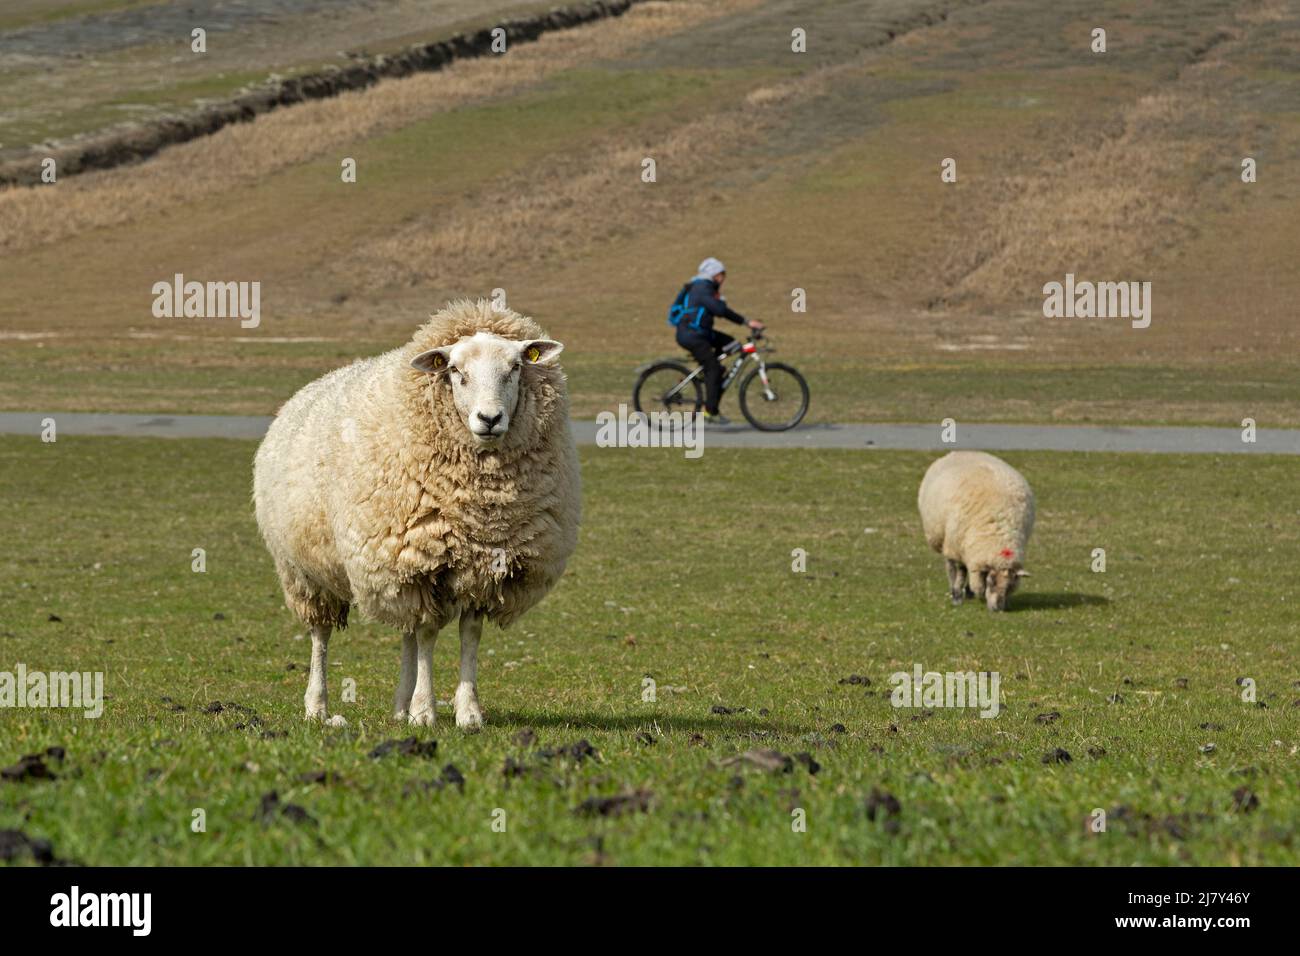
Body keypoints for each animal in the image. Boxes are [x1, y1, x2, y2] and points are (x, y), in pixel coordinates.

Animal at [252, 299, 581, 730]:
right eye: (455, 371)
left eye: (514, 367)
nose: (489, 419)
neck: (481, 506)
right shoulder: (422, 564)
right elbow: (427, 634)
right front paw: (425, 711)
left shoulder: (480, 567)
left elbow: (469, 635)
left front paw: (467, 712)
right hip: (306, 572)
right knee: (321, 634)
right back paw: (318, 706)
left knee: (405, 630)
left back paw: (399, 706)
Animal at [917, 451, 1034, 612]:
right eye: (991, 582)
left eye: (1010, 587)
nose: (998, 609)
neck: (998, 533)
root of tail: (961, 452)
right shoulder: (957, 546)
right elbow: (960, 572)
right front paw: (957, 596)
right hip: (948, 540)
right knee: (951, 567)